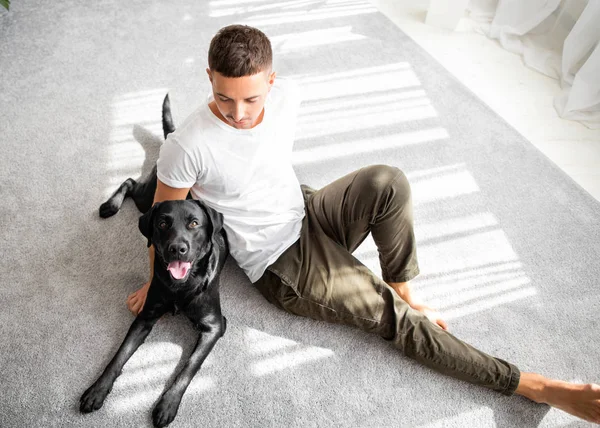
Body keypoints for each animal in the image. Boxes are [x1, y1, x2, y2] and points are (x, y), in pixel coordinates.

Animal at [79, 95, 227, 426]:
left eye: (194, 224)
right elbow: (118, 357)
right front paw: (97, 390)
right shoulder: (145, 316)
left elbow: (188, 368)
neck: (181, 287)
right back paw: (110, 205)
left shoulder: (215, 326)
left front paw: (167, 404)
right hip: (150, 194)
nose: (177, 249)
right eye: (162, 224)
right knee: (131, 182)